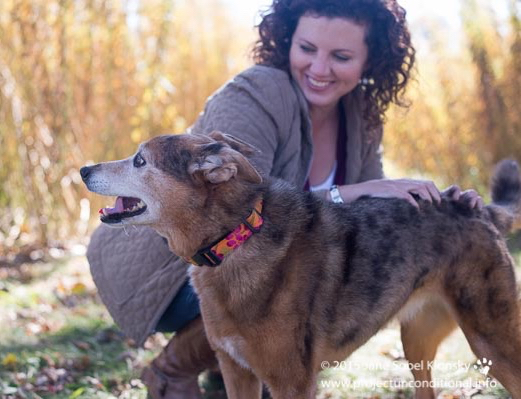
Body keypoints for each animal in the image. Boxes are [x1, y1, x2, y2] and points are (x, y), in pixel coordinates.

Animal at [80, 132, 520, 399]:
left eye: (139, 161)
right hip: (417, 343)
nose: (83, 169)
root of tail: (480, 210)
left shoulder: (291, 381)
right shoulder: (237, 372)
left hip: (494, 342)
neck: (235, 239)